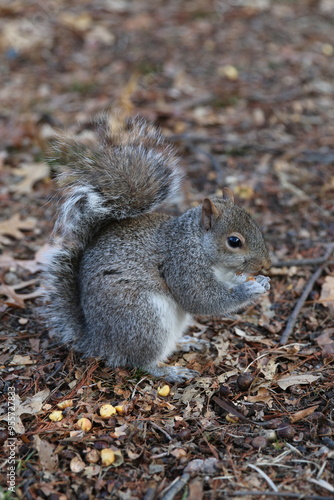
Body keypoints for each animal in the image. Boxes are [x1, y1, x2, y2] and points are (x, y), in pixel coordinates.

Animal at [43, 113, 272, 382]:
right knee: (141, 361)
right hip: (145, 320)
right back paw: (170, 372)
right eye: (234, 241)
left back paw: (184, 342)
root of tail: (98, 340)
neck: (198, 243)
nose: (266, 264)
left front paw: (262, 281)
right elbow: (201, 299)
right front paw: (248, 290)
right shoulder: (182, 264)